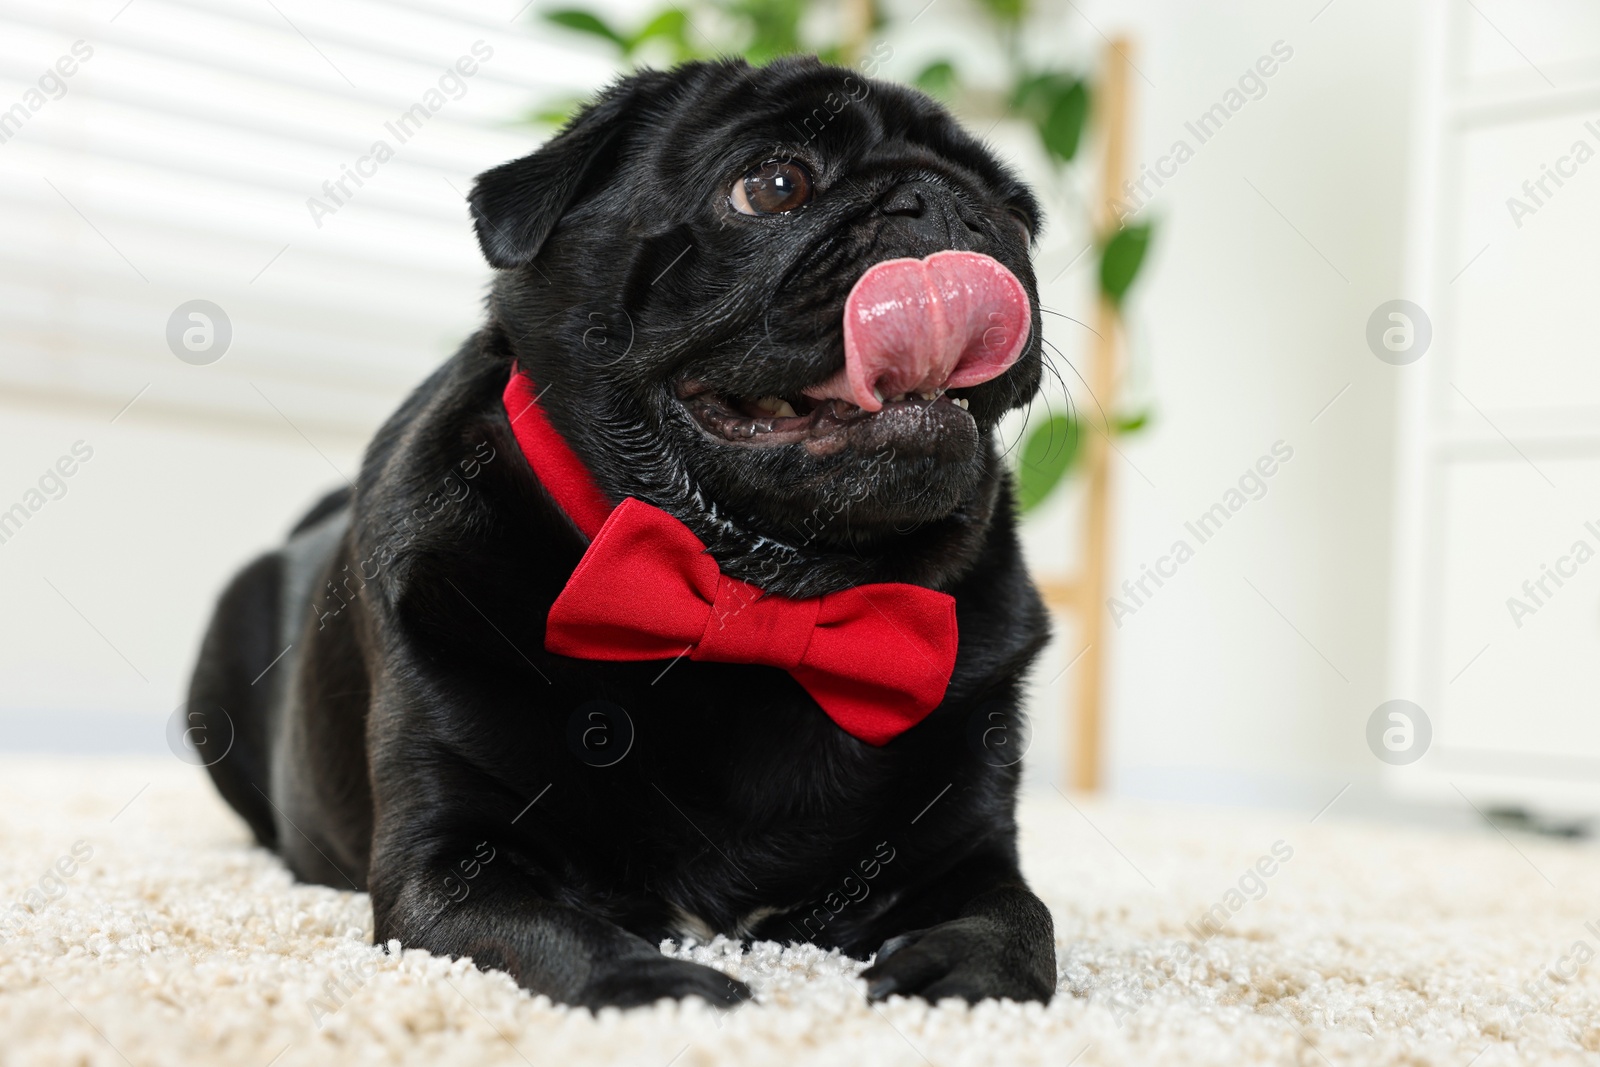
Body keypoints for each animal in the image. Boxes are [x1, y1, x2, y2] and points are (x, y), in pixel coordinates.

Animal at [187, 56, 1056, 1011]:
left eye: (1016, 215)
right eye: (773, 185)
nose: (943, 203)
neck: (759, 593)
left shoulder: (968, 851)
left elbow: (1022, 919)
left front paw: (960, 974)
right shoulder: (447, 863)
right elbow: (556, 931)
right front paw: (659, 982)